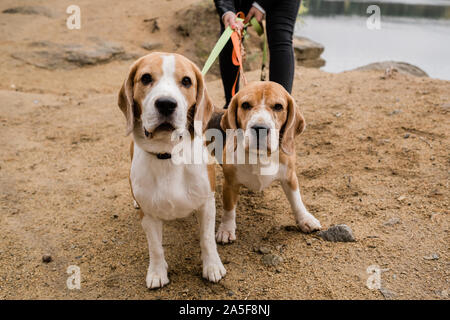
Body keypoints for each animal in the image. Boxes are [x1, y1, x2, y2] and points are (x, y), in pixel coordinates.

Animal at [118, 52, 227, 288]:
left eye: (186, 81)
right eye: (146, 78)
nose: (166, 104)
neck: (168, 154)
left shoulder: (207, 203)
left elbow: (207, 239)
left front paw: (212, 267)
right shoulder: (148, 214)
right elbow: (155, 247)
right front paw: (157, 272)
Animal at [216, 81, 322, 244]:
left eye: (278, 106)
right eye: (245, 105)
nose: (260, 128)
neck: (261, 155)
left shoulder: (290, 176)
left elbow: (296, 200)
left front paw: (305, 219)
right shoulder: (229, 183)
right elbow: (228, 209)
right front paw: (226, 229)